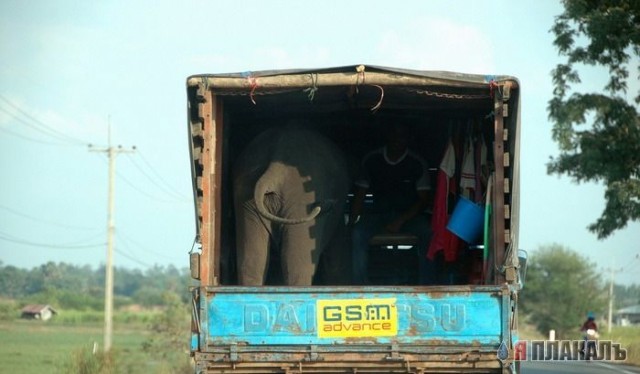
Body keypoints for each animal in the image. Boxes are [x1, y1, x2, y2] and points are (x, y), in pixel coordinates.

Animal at [232, 125, 350, 286]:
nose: (328, 204)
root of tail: (274, 167)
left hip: (245, 194)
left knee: (252, 262)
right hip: (300, 198)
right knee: (299, 264)